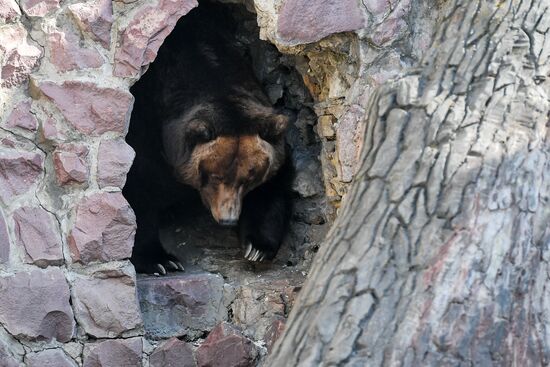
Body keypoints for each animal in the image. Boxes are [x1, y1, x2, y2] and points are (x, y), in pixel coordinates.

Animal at [125, 2, 294, 274]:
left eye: (250, 176)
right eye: (214, 175)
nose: (228, 219)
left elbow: (275, 183)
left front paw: (257, 247)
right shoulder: (146, 128)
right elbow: (139, 189)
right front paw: (160, 260)